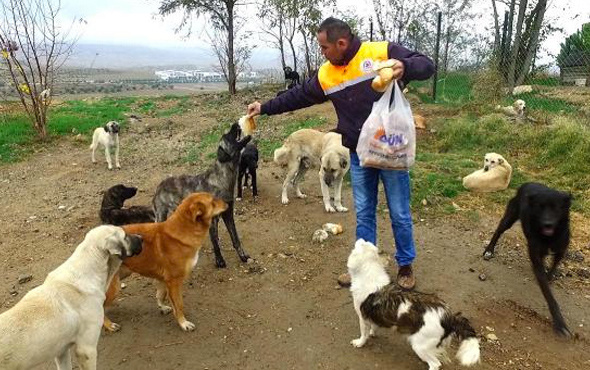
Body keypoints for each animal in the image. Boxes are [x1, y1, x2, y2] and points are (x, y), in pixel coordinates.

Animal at [104, 192, 229, 330]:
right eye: (213, 201)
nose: (228, 202)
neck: (183, 230)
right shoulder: (174, 281)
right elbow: (179, 305)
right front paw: (183, 323)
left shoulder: (164, 279)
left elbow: (160, 295)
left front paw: (162, 307)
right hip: (114, 287)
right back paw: (109, 325)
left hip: (123, 274)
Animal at [153, 123, 252, 268]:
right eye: (227, 136)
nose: (235, 124)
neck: (222, 178)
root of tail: (159, 185)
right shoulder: (212, 220)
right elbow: (215, 242)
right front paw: (220, 261)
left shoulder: (228, 214)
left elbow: (235, 238)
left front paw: (243, 256)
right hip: (161, 215)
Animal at [350, 238, 484, 368]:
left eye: (360, 244)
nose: (361, 238)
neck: (369, 272)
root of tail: (449, 316)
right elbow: (374, 326)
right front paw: (373, 332)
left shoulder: (362, 317)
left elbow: (364, 334)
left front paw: (360, 342)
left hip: (419, 346)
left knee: (435, 364)